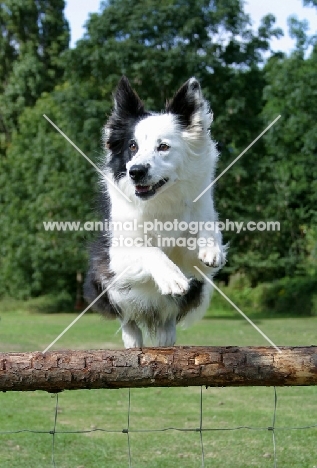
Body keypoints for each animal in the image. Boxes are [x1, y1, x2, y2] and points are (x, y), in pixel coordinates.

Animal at [82, 77, 226, 348]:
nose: (136, 171)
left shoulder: (194, 261)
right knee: (127, 317)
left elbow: (206, 232)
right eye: (132, 145)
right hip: (102, 279)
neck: (161, 200)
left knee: (168, 316)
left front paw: (212, 249)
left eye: (163, 147)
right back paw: (132, 338)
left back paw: (165, 335)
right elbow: (150, 251)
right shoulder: (116, 255)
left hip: (199, 291)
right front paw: (171, 277)